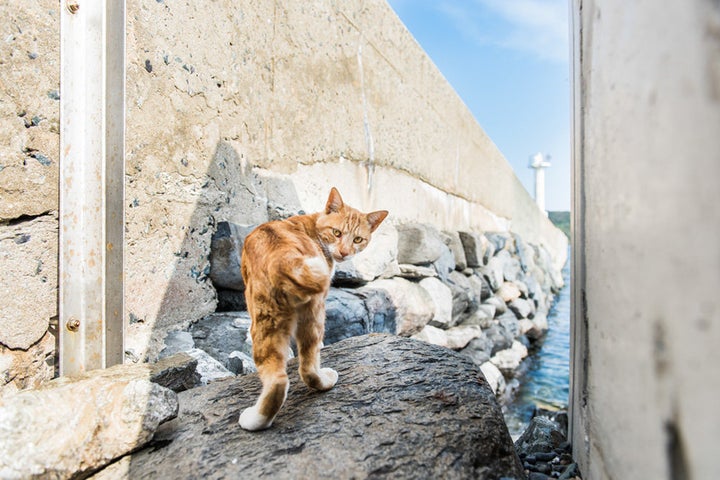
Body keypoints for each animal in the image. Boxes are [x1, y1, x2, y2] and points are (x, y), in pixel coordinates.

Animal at [238, 188, 386, 432]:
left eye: (357, 239)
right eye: (336, 233)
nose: (344, 253)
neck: (312, 224)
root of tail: (283, 259)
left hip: (269, 318)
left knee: (287, 375)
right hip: (304, 314)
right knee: (300, 367)